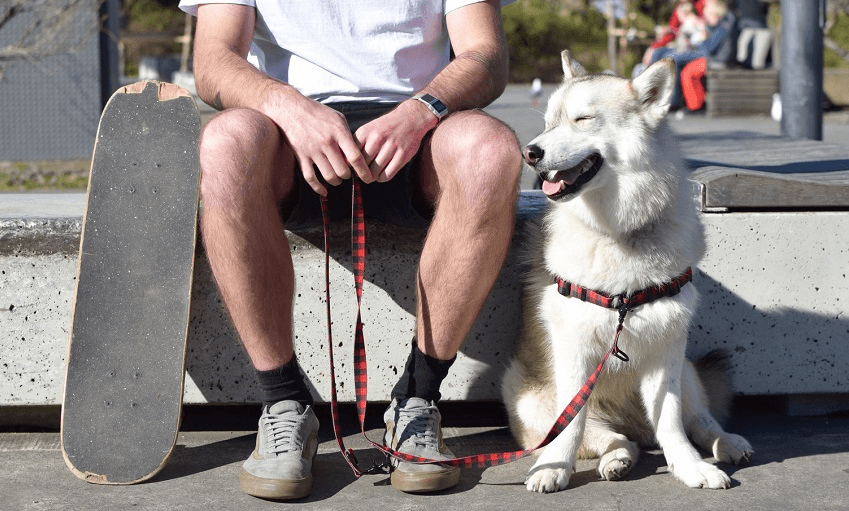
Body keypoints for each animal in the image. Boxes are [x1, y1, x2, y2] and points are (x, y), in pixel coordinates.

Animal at [501, 50, 753, 494]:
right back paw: (616, 459)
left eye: (582, 119)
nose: (529, 153)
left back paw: (727, 443)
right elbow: (571, 427)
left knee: (698, 419)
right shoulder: (574, 349)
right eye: (549, 122)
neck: (617, 235)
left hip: (687, 369)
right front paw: (554, 468)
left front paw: (690, 467)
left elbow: (672, 423)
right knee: (609, 437)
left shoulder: (667, 346)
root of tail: (632, 423)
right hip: (524, 393)